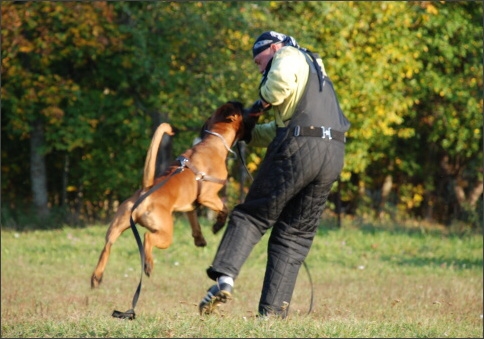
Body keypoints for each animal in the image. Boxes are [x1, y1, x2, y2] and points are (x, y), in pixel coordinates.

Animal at [91, 101, 246, 290]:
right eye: (238, 108)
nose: (240, 102)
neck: (213, 142)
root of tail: (146, 190)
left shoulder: (189, 206)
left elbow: (195, 223)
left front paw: (200, 239)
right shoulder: (208, 196)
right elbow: (224, 208)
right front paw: (217, 226)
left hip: (116, 228)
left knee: (107, 246)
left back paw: (97, 277)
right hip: (165, 234)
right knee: (147, 238)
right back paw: (148, 264)